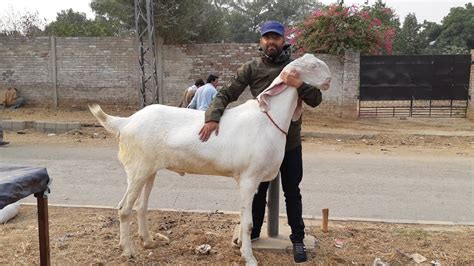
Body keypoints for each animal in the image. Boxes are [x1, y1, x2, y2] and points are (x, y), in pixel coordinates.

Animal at [90, 53, 332, 264]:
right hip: (137, 169)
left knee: (141, 206)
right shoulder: (248, 179)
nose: (329, 80)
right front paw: (249, 258)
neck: (268, 117)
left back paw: (148, 241)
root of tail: (125, 122)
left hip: (149, 170)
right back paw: (128, 251)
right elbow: (247, 223)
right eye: (312, 66)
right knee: (124, 208)